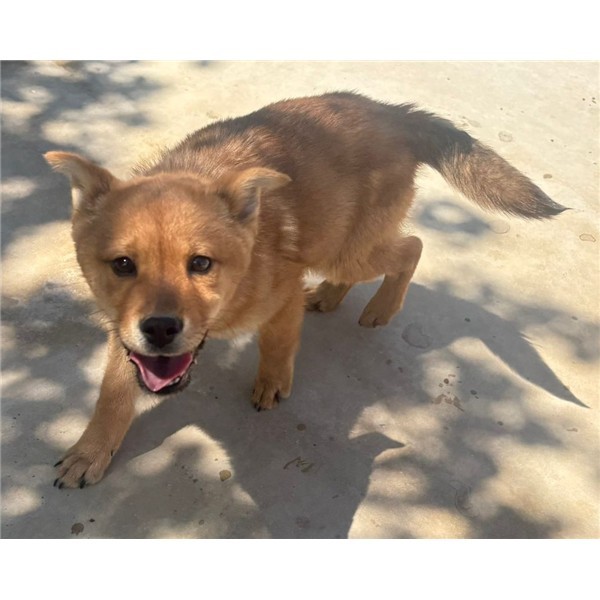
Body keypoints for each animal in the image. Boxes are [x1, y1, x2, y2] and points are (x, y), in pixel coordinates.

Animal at [45, 92, 566, 488]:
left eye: (200, 264)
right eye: (123, 265)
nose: (160, 329)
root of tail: (394, 114)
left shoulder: (282, 295)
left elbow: (277, 344)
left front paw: (272, 383)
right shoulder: (125, 332)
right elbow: (112, 392)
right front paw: (91, 451)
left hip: (347, 248)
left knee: (411, 247)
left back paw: (381, 307)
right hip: (336, 237)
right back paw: (331, 297)